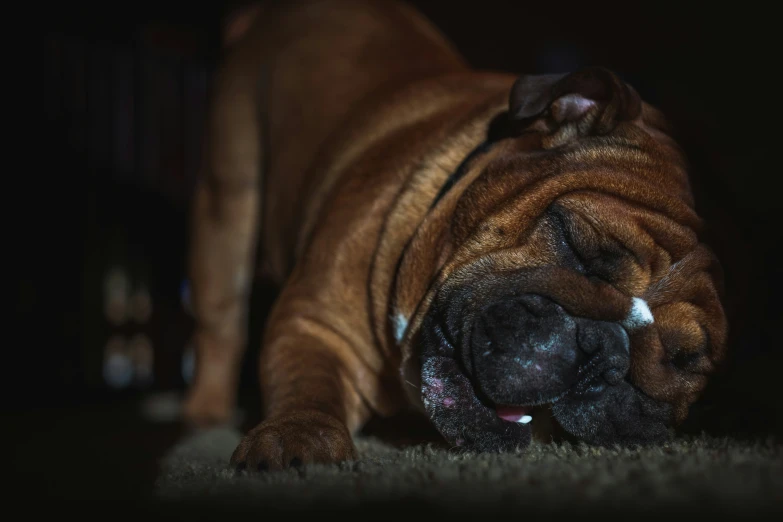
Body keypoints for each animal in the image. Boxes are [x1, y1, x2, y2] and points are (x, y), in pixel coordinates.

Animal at [182, 0, 728, 470]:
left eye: (685, 361)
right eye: (576, 244)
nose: (605, 352)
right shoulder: (315, 322)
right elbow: (308, 386)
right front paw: (299, 438)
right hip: (228, 199)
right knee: (221, 320)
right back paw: (205, 411)